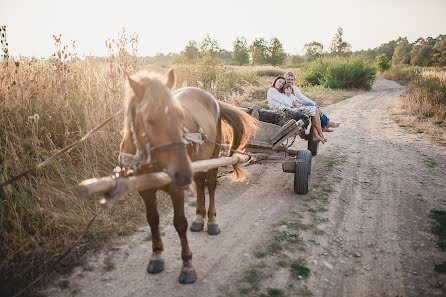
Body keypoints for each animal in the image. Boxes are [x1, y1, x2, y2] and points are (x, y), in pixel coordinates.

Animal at [116, 69, 260, 282]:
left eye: (179, 116)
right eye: (149, 120)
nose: (181, 170)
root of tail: (212, 98)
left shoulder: (177, 189)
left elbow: (179, 223)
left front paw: (187, 265)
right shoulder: (146, 190)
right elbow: (153, 220)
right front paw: (156, 255)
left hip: (213, 156)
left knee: (210, 185)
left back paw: (211, 221)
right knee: (200, 184)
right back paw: (199, 218)